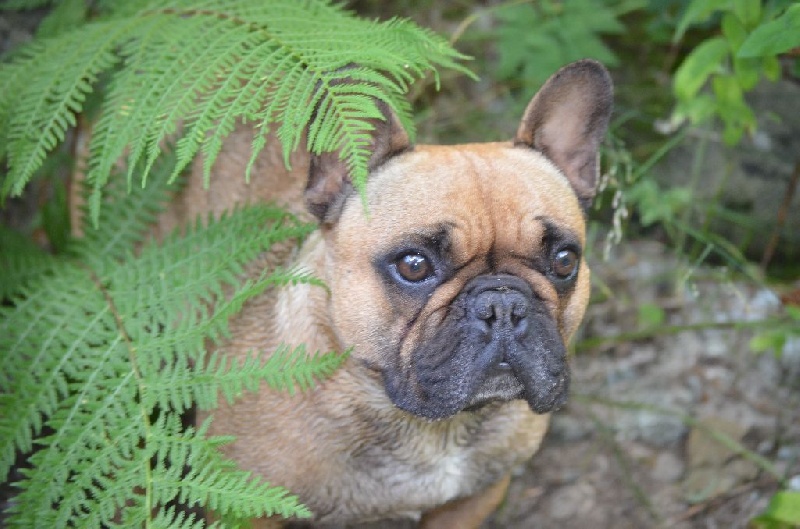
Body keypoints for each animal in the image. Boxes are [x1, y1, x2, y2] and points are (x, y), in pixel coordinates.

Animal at [155, 59, 612, 524]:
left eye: (565, 260)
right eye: (414, 265)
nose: (503, 303)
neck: (429, 430)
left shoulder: (473, 499)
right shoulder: (246, 509)